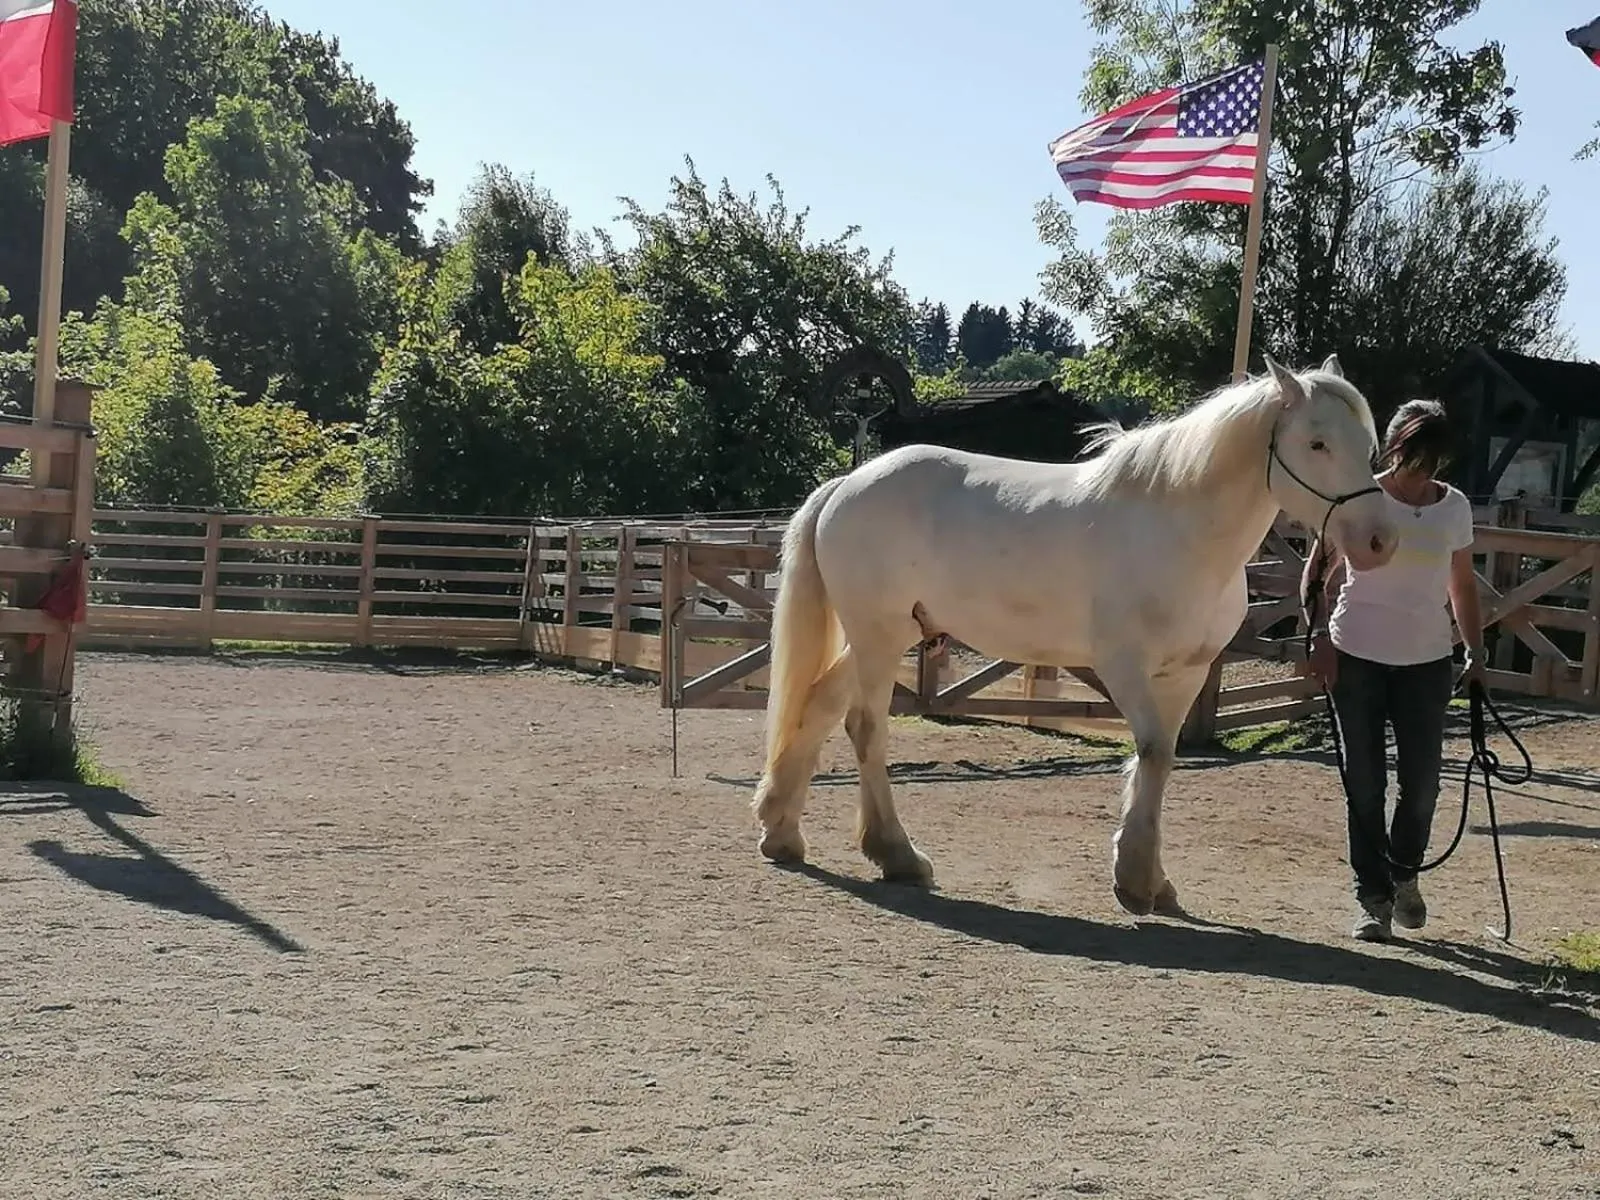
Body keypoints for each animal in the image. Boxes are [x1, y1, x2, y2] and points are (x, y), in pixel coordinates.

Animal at [749, 354, 1400, 916]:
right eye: (1316, 443)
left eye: (1369, 446)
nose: (1379, 541)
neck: (1178, 531)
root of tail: (847, 483)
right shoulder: (1124, 667)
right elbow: (1154, 753)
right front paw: (1134, 882)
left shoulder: (1185, 673)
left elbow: (1160, 761)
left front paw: (1153, 879)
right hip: (879, 636)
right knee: (865, 727)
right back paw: (897, 855)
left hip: (883, 636)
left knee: (819, 704)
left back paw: (781, 832)